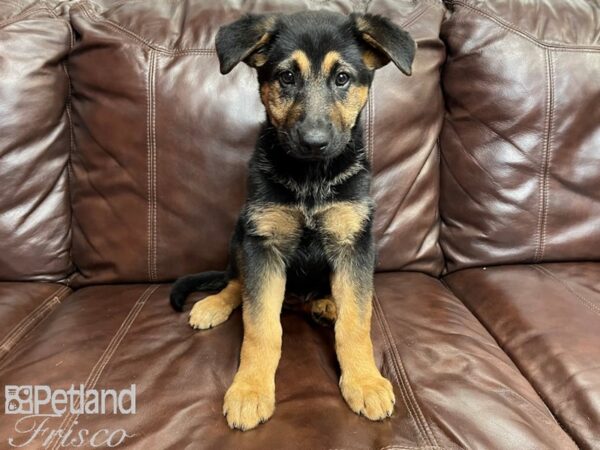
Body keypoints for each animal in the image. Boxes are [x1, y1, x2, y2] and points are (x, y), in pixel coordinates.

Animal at [169, 10, 412, 430]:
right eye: (286, 77)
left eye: (342, 77)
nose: (313, 142)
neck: (311, 178)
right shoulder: (262, 243)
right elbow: (261, 327)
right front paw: (250, 389)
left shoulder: (354, 243)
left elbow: (356, 324)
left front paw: (364, 381)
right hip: (240, 233)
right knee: (237, 282)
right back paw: (214, 304)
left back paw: (327, 303)